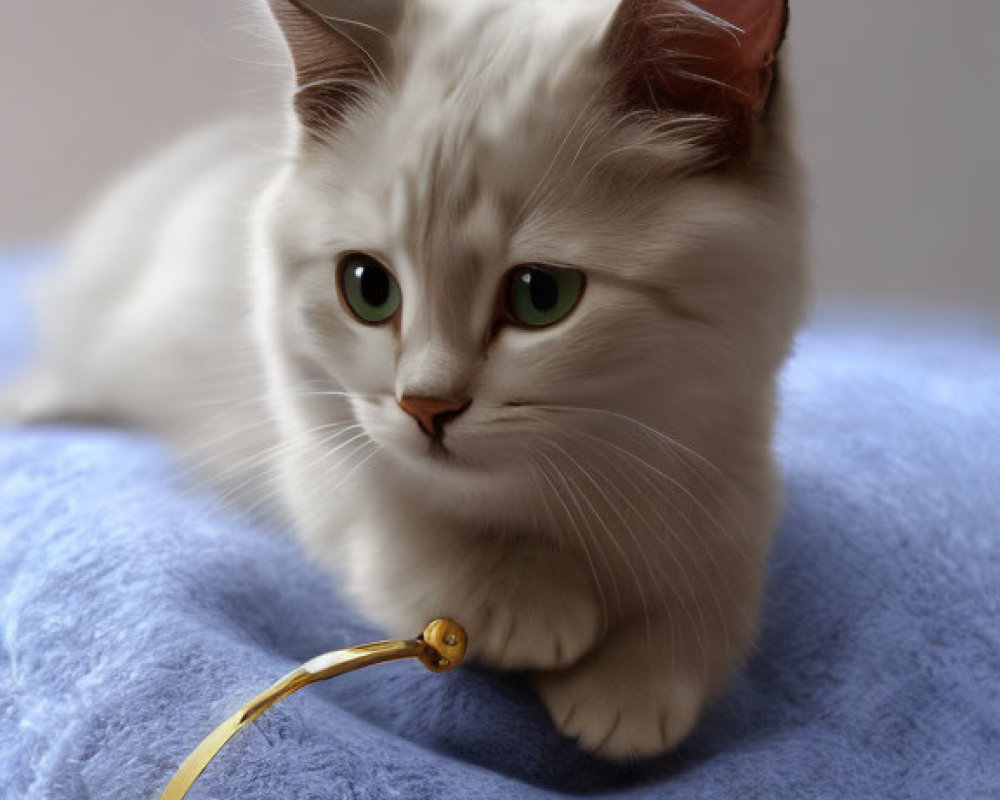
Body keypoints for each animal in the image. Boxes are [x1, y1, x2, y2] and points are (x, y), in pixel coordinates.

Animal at [1, 0, 804, 756]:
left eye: (542, 296)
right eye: (367, 287)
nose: (427, 406)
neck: (568, 496)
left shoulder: (731, 470)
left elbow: (711, 594)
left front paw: (635, 683)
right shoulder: (325, 460)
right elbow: (414, 528)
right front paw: (530, 603)